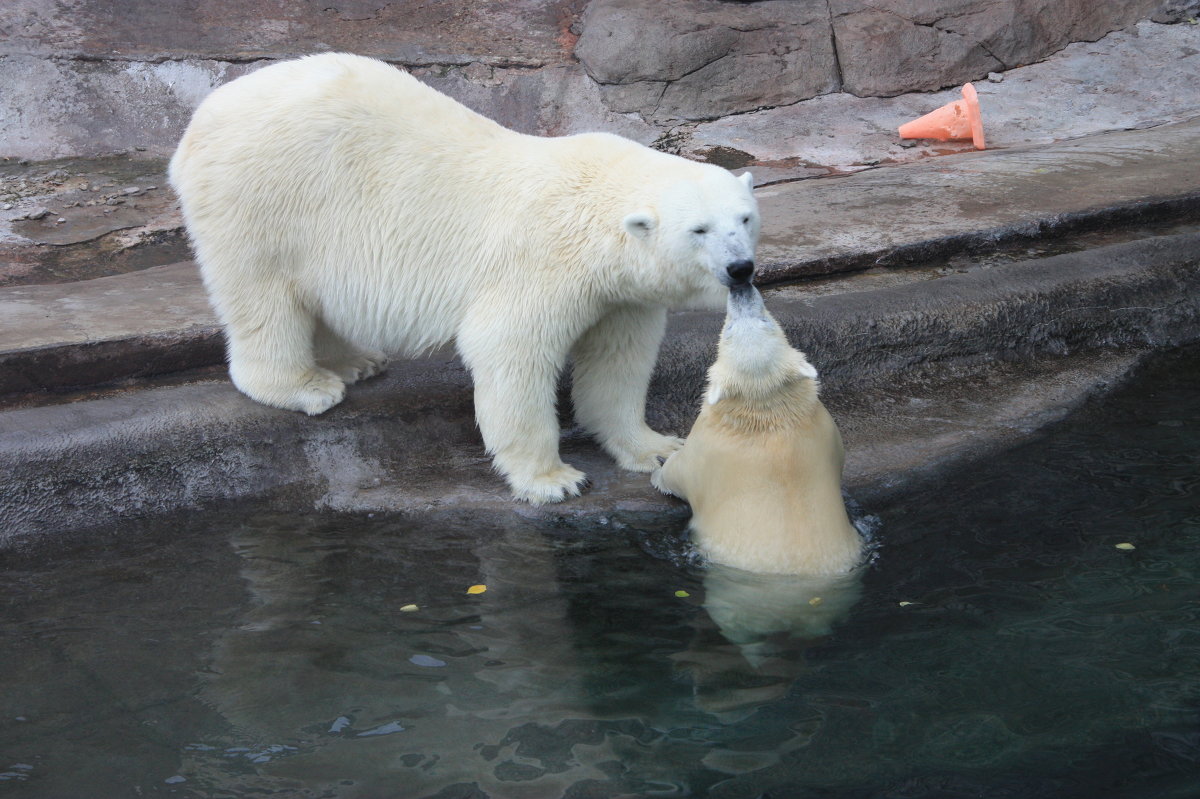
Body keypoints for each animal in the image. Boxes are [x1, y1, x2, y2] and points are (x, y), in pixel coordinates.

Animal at [169, 51, 758, 503]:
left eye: (745, 218)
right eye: (699, 229)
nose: (741, 267)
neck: (593, 212)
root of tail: (199, 121)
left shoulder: (620, 295)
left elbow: (618, 362)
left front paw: (656, 447)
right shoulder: (544, 262)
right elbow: (509, 350)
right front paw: (555, 479)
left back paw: (357, 361)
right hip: (262, 198)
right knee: (265, 297)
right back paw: (306, 386)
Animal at [657, 286, 864, 573]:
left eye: (728, 328)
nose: (741, 289)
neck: (768, 418)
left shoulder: (706, 449)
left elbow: (679, 472)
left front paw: (660, 465)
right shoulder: (827, 431)